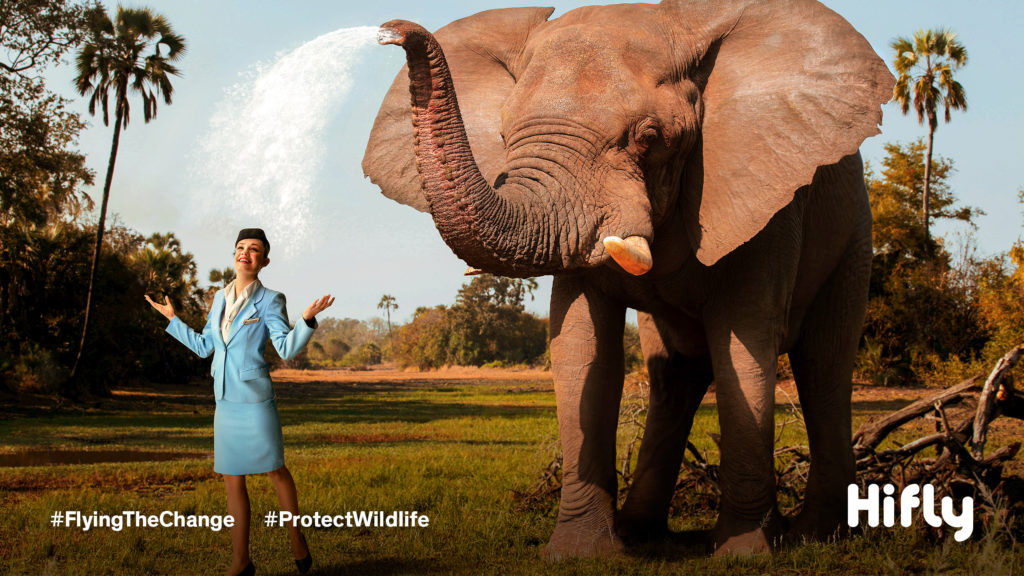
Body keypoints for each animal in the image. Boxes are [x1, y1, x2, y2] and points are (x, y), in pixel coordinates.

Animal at [364, 0, 892, 557]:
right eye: (505, 137)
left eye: (649, 138)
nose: (394, 31)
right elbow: (580, 347)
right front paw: (578, 554)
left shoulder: (768, 198)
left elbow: (744, 342)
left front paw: (746, 555)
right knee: (673, 374)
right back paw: (642, 534)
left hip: (854, 235)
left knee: (824, 367)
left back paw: (818, 536)